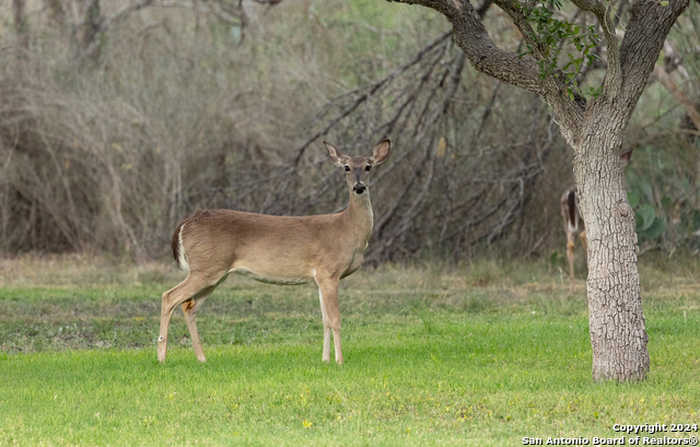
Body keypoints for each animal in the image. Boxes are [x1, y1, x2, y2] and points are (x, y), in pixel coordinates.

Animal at [155, 139, 392, 364]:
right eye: (346, 167)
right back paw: (162, 357)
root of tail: (185, 223)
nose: (359, 187)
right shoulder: (329, 272)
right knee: (169, 296)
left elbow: (324, 320)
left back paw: (201, 358)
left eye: (368, 166)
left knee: (189, 306)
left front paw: (325, 360)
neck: (347, 229)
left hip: (215, 274)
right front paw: (339, 361)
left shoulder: (319, 278)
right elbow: (335, 320)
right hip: (206, 268)